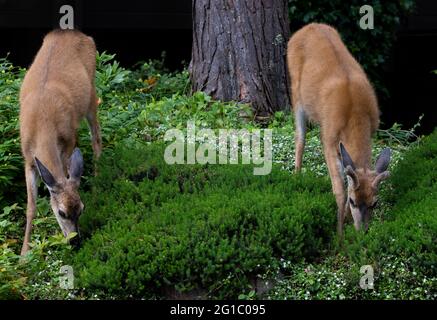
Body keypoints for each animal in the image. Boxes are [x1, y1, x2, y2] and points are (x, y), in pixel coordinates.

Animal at [19, 29, 101, 255]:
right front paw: (24, 254)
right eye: (62, 212)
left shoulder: (68, 143)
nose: (75, 242)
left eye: (81, 209)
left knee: (96, 139)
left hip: (92, 94)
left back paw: (97, 183)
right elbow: (31, 207)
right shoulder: (28, 159)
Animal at [286, 23, 392, 235]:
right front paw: (340, 230)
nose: (362, 232)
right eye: (353, 200)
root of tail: (308, 27)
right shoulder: (328, 139)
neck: (355, 114)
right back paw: (296, 176)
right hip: (296, 94)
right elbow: (339, 189)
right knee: (300, 136)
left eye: (374, 203)